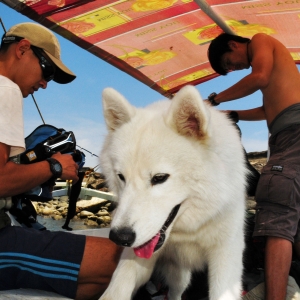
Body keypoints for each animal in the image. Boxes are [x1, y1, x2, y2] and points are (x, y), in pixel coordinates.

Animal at [99, 85, 247, 300]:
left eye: (159, 177)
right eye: (121, 177)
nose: (120, 237)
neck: (188, 231)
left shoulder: (226, 254)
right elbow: (118, 287)